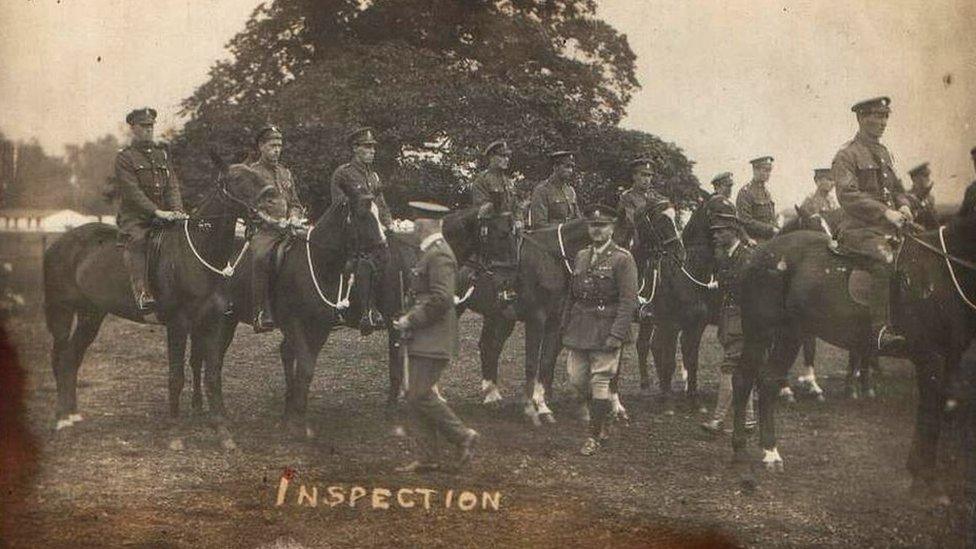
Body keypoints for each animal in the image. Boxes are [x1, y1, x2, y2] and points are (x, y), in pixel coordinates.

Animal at [42, 159, 266, 446]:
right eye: (237, 179)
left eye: (257, 175)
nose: (272, 201)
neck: (198, 252)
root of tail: (58, 243)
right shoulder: (178, 324)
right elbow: (176, 377)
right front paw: (175, 435)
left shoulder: (213, 323)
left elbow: (213, 375)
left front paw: (222, 431)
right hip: (61, 312)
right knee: (61, 358)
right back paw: (61, 419)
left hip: (91, 315)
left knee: (71, 358)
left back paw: (72, 416)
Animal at [732, 215, 976, 492]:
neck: (942, 269)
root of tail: (759, 253)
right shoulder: (930, 358)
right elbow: (930, 413)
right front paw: (922, 475)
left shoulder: (952, 358)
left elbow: (947, 406)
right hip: (763, 331)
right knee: (749, 380)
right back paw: (754, 451)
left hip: (787, 334)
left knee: (760, 379)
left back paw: (757, 451)